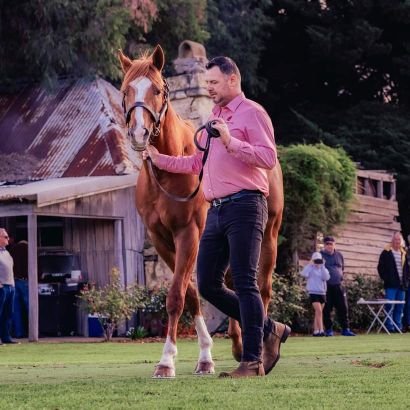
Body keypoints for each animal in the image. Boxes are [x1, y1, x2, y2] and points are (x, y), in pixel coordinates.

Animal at [119, 45, 282, 378]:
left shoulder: (189, 234)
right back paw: (239, 344)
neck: (168, 173)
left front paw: (166, 361)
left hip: (267, 237)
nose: (139, 134)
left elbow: (175, 296)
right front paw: (205, 356)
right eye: (125, 89)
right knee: (232, 285)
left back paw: (262, 348)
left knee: (261, 288)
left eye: (157, 89)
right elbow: (192, 293)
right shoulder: (162, 239)